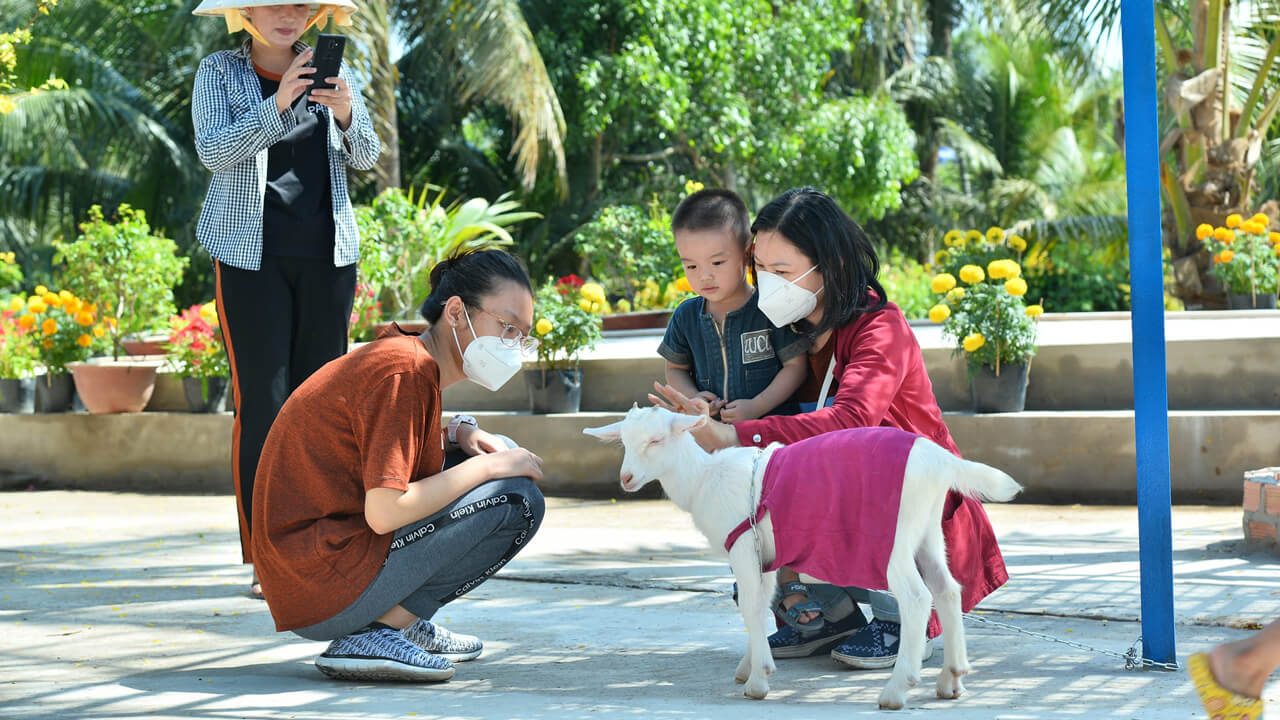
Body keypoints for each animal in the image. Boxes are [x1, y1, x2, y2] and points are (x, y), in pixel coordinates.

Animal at [586, 404, 1018, 707]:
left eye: (656, 441)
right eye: (624, 442)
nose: (626, 479)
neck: (704, 479)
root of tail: (938, 460)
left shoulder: (742, 545)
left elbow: (751, 608)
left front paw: (758, 682)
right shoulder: (761, 556)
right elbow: (759, 604)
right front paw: (749, 667)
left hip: (892, 540)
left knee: (915, 598)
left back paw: (897, 690)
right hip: (927, 531)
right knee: (947, 589)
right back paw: (952, 679)